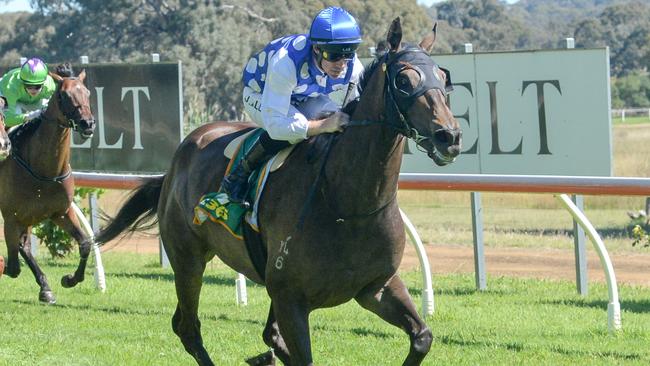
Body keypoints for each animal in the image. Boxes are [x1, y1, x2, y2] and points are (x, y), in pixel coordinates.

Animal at [0, 66, 96, 304]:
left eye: (87, 93)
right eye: (64, 95)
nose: (87, 123)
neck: (44, 170)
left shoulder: (60, 212)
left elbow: (85, 243)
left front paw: (70, 279)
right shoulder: (10, 218)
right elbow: (12, 267)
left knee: (24, 246)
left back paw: (45, 287)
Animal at [97, 18, 460, 364]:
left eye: (444, 79)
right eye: (404, 80)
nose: (449, 136)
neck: (346, 202)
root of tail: (178, 157)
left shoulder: (376, 286)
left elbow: (422, 337)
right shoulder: (291, 298)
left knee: (263, 335)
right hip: (188, 258)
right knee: (188, 328)